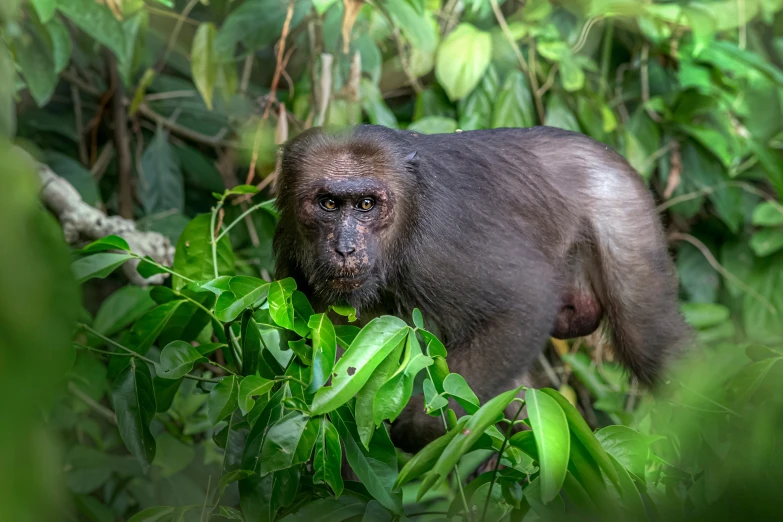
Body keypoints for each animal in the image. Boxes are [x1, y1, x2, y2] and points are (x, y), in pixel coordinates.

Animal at [274, 123, 692, 450]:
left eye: (365, 205)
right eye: (328, 204)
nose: (345, 248)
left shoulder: (437, 247)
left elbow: (526, 301)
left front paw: (422, 423)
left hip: (621, 204)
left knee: (649, 339)